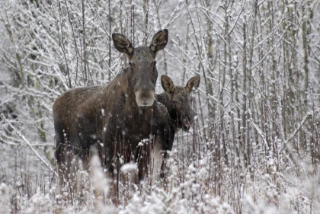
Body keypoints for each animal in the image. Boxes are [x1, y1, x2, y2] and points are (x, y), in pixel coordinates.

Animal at [53, 29, 172, 191]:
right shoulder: (109, 155)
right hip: (63, 152)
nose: (145, 96)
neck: (136, 121)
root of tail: (55, 102)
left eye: (153, 62)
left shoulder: (144, 153)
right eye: (131, 63)